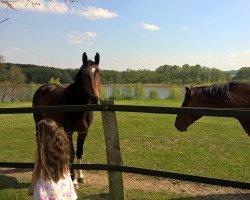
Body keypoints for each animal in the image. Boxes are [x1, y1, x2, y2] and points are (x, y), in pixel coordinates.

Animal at [32, 51, 101, 186]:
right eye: (84, 74)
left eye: (99, 73)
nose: (95, 99)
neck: (77, 105)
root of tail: (42, 88)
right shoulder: (69, 131)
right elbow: (72, 153)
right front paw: (73, 179)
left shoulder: (83, 131)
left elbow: (79, 152)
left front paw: (81, 176)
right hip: (38, 122)